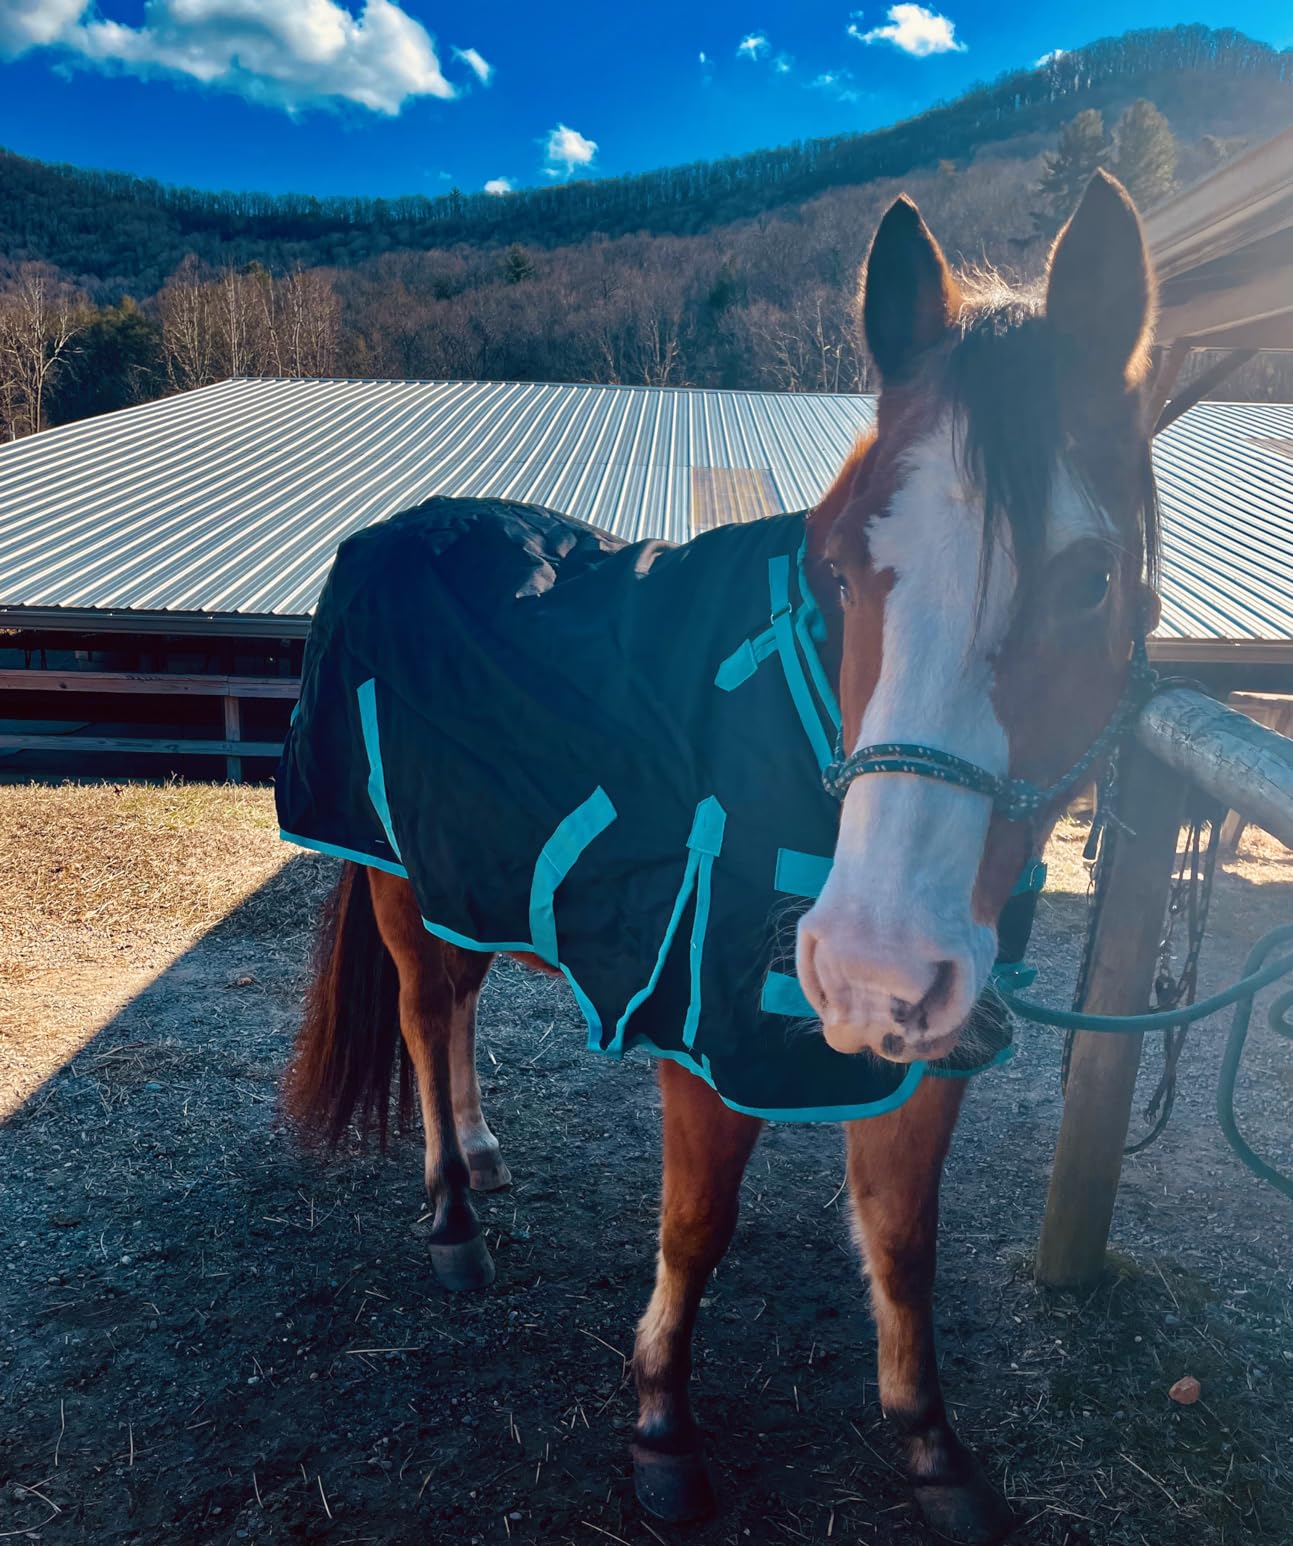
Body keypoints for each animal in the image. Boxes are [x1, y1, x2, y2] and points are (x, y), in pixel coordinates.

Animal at [284, 170, 1159, 1545]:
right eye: (842, 566)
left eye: (1090, 579)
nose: (868, 966)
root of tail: (387, 532)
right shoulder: (704, 1029)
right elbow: (696, 1227)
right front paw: (661, 1425)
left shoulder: (927, 1052)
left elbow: (902, 1236)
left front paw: (931, 1443)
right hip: (400, 879)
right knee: (428, 1019)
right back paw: (452, 1216)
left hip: (474, 879)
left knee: (460, 1013)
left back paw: (480, 1150)